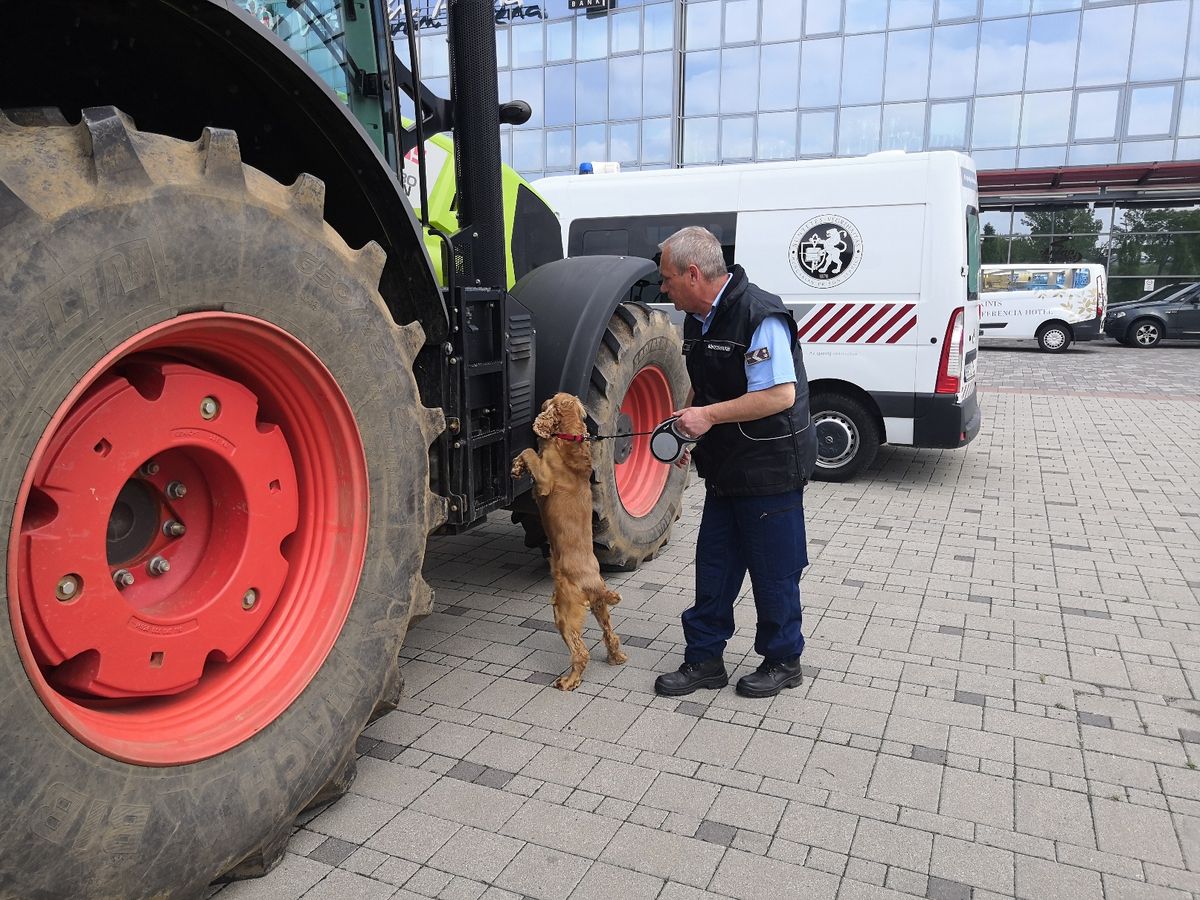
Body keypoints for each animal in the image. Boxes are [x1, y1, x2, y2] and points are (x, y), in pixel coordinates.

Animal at [513, 391, 633, 696]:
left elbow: (529, 451)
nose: (542, 401)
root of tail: (595, 584)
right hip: (600, 608)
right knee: (610, 635)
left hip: (564, 611)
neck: (570, 436)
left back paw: (568, 681)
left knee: (581, 652)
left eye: (549, 400)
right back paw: (616, 658)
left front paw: (517, 466)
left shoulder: (544, 482)